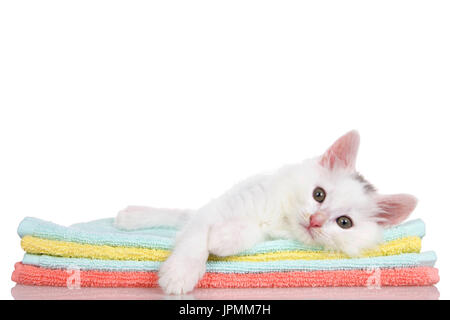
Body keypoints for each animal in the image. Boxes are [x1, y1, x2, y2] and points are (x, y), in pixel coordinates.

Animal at [114, 129, 416, 294]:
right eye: (319, 194)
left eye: (344, 223)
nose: (315, 221)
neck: (277, 216)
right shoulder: (219, 209)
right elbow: (195, 241)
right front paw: (180, 274)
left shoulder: (266, 236)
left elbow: (245, 234)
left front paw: (222, 239)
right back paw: (129, 217)